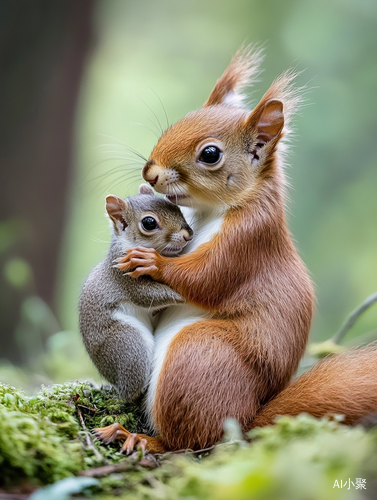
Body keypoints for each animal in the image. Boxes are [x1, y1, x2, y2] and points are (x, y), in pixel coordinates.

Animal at [78, 185, 192, 402]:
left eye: (175, 206)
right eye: (149, 223)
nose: (187, 234)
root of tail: (114, 381)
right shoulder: (126, 278)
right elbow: (148, 295)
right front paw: (186, 295)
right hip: (129, 346)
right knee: (130, 393)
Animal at [93, 47, 376, 454]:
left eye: (210, 154)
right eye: (176, 123)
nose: (150, 173)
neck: (212, 210)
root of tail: (245, 425)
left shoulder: (248, 241)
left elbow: (208, 278)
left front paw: (151, 261)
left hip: (199, 356)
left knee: (191, 442)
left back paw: (142, 437)